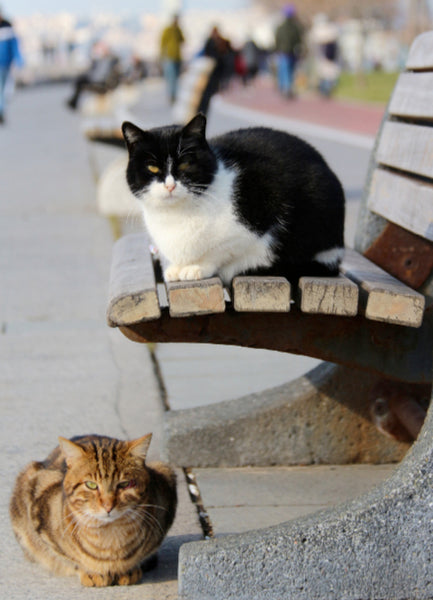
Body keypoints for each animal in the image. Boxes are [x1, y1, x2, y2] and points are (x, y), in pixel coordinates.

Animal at [9, 434, 176, 588]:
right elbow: (69, 558)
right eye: (91, 485)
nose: (108, 506)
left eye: (124, 484)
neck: (110, 535)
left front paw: (129, 570)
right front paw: (90, 572)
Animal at [121, 113, 344, 286]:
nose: (170, 185)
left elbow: (223, 250)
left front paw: (197, 267)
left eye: (185, 163)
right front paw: (177, 267)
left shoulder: (260, 211)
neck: (175, 216)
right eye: (152, 167)